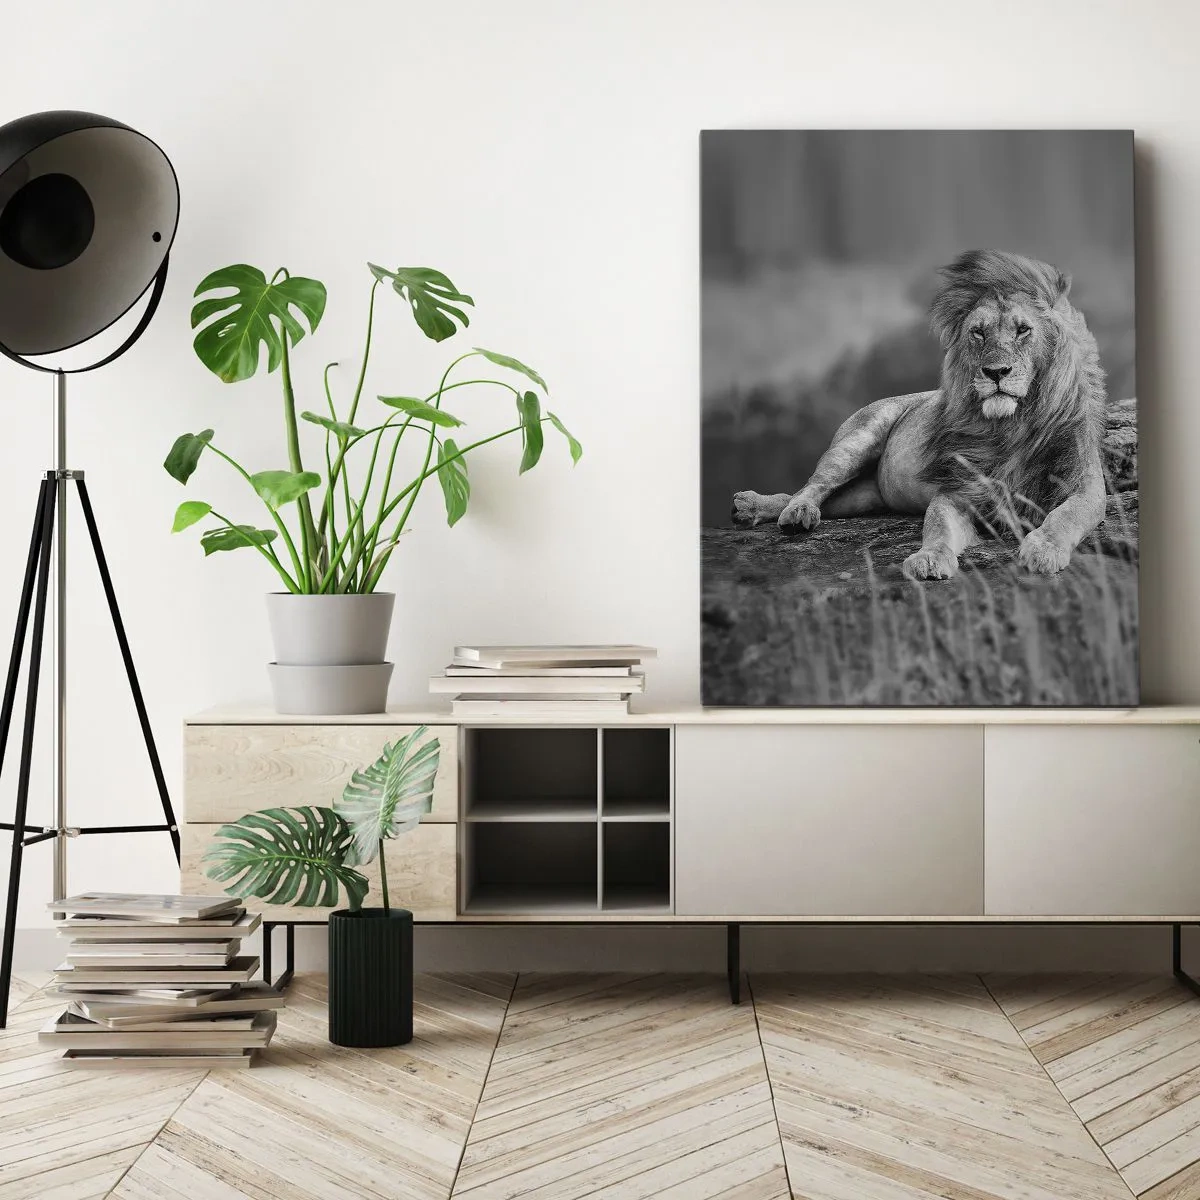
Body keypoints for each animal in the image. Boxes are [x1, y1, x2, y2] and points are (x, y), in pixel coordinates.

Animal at [731, 249, 1108, 580]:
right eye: (978, 332)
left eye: (1023, 329)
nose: (996, 372)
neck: (1011, 427)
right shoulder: (957, 490)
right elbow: (937, 526)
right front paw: (928, 559)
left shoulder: (1084, 486)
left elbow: (1066, 516)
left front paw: (1043, 550)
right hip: (855, 441)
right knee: (813, 485)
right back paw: (788, 511)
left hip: (864, 497)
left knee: (814, 496)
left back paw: (753, 508)